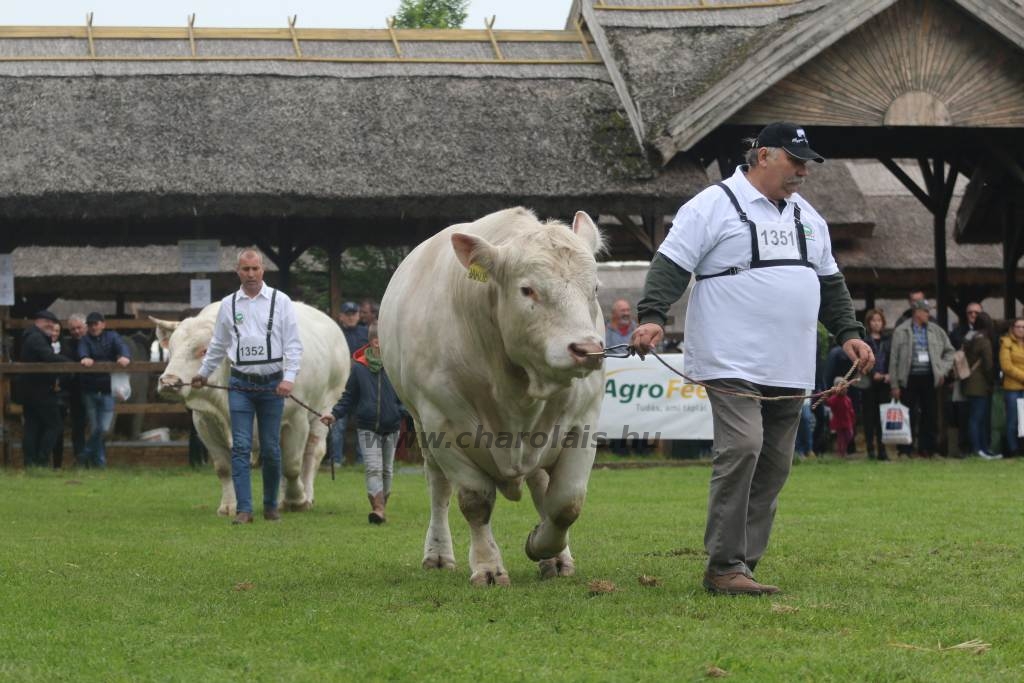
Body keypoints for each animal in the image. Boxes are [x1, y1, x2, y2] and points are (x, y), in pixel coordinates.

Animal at [151, 301, 350, 516]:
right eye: (171, 349)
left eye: (204, 350)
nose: (169, 382)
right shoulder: (205, 422)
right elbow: (224, 468)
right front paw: (229, 506)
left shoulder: (295, 419)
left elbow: (292, 466)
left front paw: (297, 500)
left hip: (326, 408)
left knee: (312, 453)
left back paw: (305, 495)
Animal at [385, 205, 606, 585]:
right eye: (527, 290)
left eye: (593, 287)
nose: (587, 350)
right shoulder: (442, 424)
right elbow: (475, 501)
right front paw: (488, 567)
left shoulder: (583, 420)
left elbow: (566, 503)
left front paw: (542, 544)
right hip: (421, 428)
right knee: (439, 488)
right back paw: (438, 554)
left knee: (541, 486)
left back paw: (555, 558)